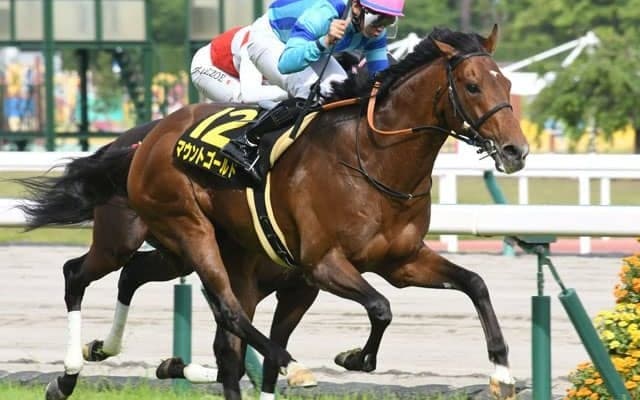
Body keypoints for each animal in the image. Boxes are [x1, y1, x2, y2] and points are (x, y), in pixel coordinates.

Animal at [19, 25, 528, 400]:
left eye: (506, 82)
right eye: (472, 85)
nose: (516, 150)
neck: (373, 158)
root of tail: (148, 138)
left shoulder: (396, 262)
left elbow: (474, 284)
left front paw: (502, 373)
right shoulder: (322, 264)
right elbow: (381, 308)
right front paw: (353, 359)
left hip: (176, 251)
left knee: (145, 282)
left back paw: (96, 355)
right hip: (172, 231)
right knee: (112, 281)